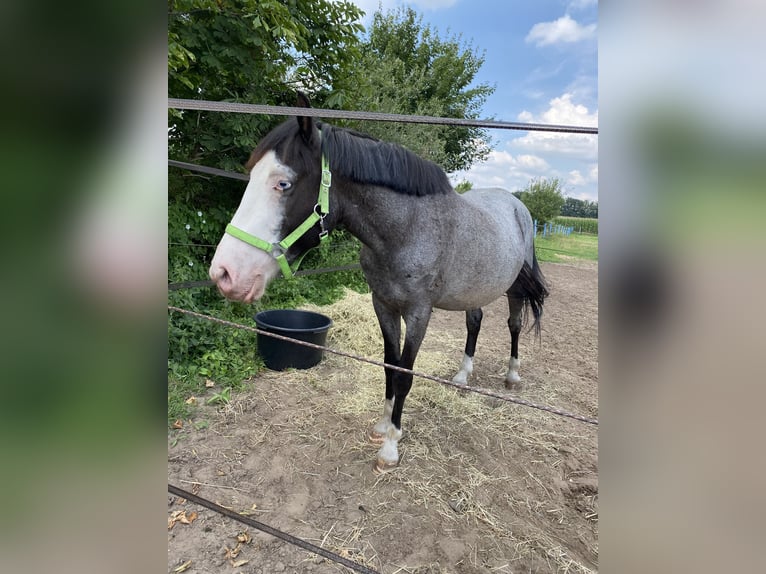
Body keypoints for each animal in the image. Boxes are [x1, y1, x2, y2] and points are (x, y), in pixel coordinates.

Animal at [207, 97, 548, 474]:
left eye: (283, 184)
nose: (225, 273)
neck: (408, 228)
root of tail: (517, 205)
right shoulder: (383, 304)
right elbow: (388, 364)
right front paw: (383, 426)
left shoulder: (418, 312)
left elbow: (404, 374)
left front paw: (390, 447)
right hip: (474, 288)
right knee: (475, 322)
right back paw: (462, 376)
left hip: (514, 287)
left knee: (514, 324)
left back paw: (512, 375)